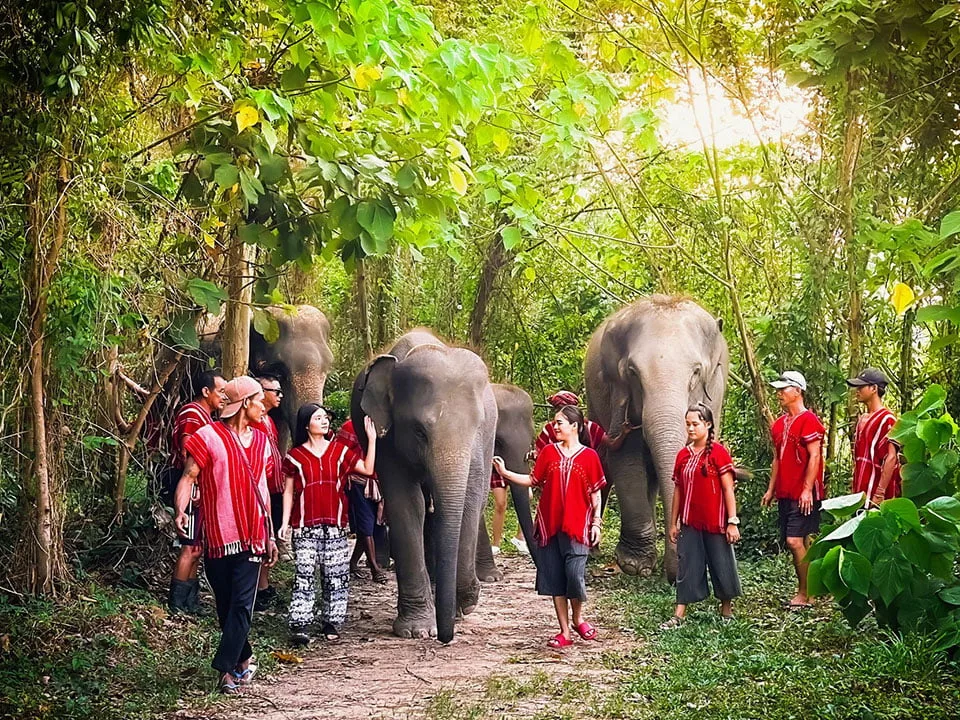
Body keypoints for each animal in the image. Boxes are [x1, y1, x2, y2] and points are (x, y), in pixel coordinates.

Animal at [351, 329, 498, 643]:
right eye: (419, 431)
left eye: (476, 427)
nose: (446, 637)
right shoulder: (386, 439)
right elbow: (408, 505)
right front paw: (417, 630)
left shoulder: (482, 441)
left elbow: (471, 499)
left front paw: (464, 601)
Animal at [584, 295, 728, 581]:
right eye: (632, 372)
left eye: (696, 372)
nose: (675, 577)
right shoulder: (615, 394)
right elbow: (626, 459)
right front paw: (634, 565)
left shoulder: (715, 392)